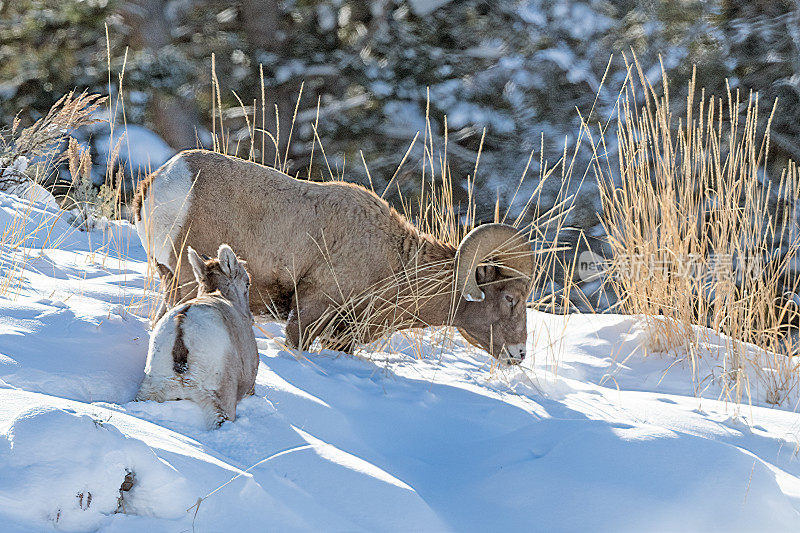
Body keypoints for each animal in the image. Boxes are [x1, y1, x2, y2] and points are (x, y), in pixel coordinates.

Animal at [134, 152, 536, 364]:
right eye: (510, 298)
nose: (519, 353)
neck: (394, 264)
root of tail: (160, 182)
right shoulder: (309, 312)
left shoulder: (341, 338)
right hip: (187, 283)